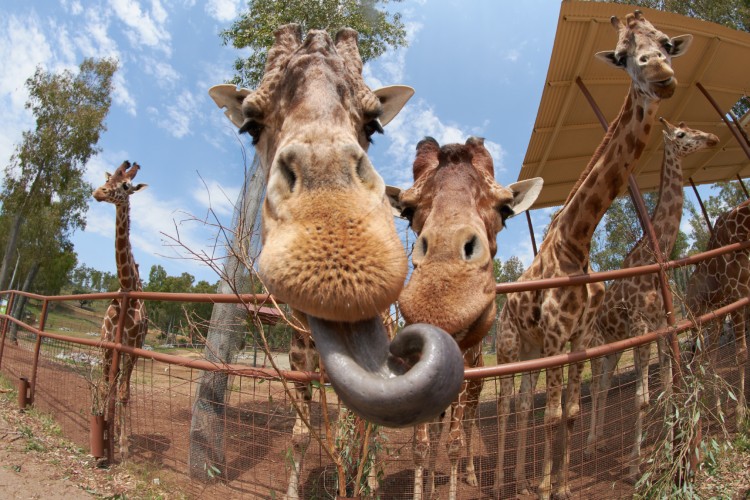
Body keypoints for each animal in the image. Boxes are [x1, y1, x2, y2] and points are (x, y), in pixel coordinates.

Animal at [390, 138, 544, 500]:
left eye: (505, 210)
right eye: (406, 210)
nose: (442, 300)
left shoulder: (463, 389)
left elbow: (456, 444)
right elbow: (421, 445)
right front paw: (425, 489)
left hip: (476, 388)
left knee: (469, 426)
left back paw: (472, 476)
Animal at [496, 12, 696, 500]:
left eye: (666, 42)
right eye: (622, 56)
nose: (660, 72)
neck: (577, 242)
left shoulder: (578, 340)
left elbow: (569, 413)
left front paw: (562, 486)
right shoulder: (554, 336)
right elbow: (553, 416)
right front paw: (547, 488)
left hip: (532, 351)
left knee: (523, 403)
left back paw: (520, 477)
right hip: (510, 349)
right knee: (508, 406)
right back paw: (502, 481)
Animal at [588, 119, 724, 478]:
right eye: (681, 135)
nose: (712, 138)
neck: (653, 257)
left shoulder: (661, 329)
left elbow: (666, 387)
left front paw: (669, 447)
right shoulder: (640, 329)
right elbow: (642, 399)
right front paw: (636, 467)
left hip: (614, 348)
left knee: (604, 386)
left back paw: (600, 441)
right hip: (597, 348)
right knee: (594, 387)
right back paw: (590, 442)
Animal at [692, 199, 750, 426]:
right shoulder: (739, 298)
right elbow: (742, 354)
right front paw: (741, 414)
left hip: (716, 320)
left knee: (711, 358)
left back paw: (715, 411)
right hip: (698, 322)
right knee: (698, 360)